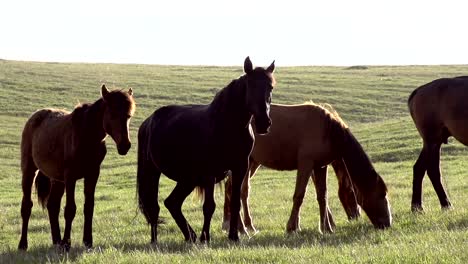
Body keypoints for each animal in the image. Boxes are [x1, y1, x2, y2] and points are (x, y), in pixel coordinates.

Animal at [17, 85, 135, 252]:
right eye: (112, 113)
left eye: (128, 116)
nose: (125, 145)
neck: (86, 136)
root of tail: (35, 116)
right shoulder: (70, 176)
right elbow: (70, 209)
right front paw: (67, 244)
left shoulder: (92, 174)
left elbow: (89, 207)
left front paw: (88, 242)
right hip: (29, 170)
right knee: (27, 206)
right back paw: (23, 244)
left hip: (57, 179)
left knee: (52, 206)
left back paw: (56, 241)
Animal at [136, 57, 274, 243]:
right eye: (250, 85)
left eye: (270, 87)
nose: (264, 122)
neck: (227, 125)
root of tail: (148, 122)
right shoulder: (210, 172)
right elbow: (209, 206)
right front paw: (206, 237)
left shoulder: (240, 168)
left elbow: (235, 203)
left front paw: (234, 236)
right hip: (153, 172)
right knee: (154, 207)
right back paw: (155, 241)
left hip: (188, 178)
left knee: (172, 203)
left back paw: (190, 236)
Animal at [223, 102, 392, 234]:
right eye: (382, 194)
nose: (388, 223)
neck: (327, 129)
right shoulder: (306, 164)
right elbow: (299, 195)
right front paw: (292, 227)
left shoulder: (320, 167)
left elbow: (322, 196)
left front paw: (326, 228)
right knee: (234, 190)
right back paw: (241, 228)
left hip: (250, 163)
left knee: (237, 190)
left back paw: (245, 227)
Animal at [406, 76, 468, 210]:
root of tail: (419, 90)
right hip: (432, 141)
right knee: (432, 170)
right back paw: (446, 205)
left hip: (432, 142)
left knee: (419, 168)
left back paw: (417, 207)